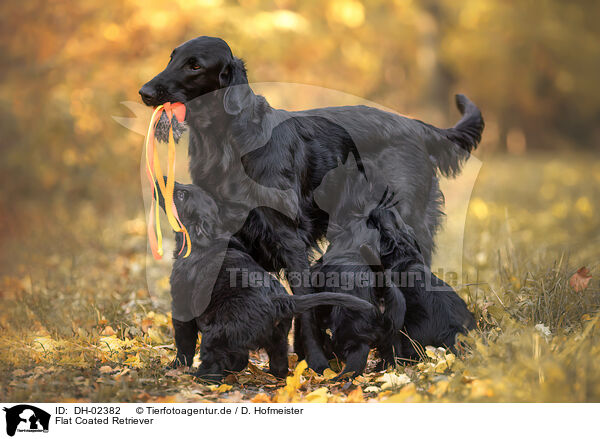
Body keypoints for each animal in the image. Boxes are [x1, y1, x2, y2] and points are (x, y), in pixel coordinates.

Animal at [157, 180, 372, 384]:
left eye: (181, 195)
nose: (163, 179)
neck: (209, 239)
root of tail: (280, 302)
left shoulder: (181, 306)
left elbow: (184, 343)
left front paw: (175, 367)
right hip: (278, 339)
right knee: (276, 365)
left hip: (218, 333)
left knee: (219, 361)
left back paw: (202, 378)